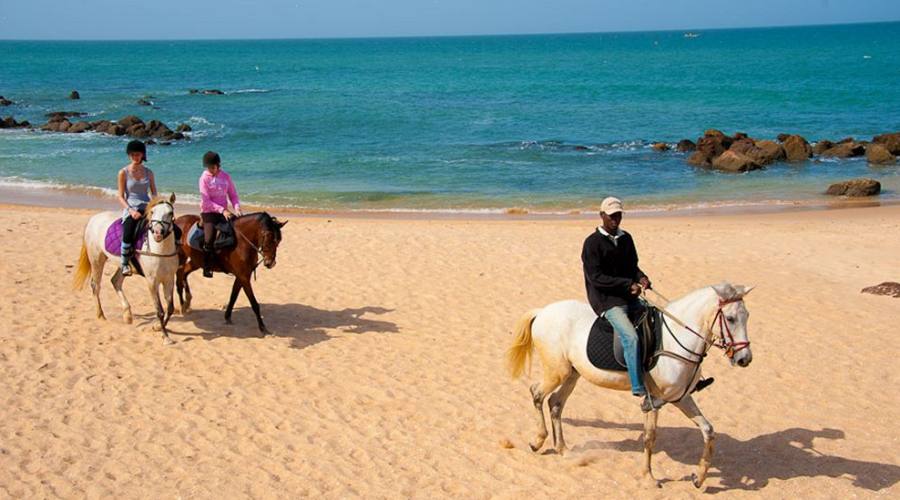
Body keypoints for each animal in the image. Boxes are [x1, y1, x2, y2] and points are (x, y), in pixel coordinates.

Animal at [74, 194, 181, 344]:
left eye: (170, 213)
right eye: (153, 212)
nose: (158, 233)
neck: (160, 250)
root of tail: (94, 219)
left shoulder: (169, 279)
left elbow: (170, 308)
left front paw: (158, 328)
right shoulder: (152, 282)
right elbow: (159, 310)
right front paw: (165, 336)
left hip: (122, 265)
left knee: (115, 281)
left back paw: (128, 315)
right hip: (97, 260)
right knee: (96, 285)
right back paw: (101, 315)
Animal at [506, 284, 752, 490]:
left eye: (747, 316)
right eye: (730, 318)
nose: (745, 359)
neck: (677, 340)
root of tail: (543, 312)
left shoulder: (680, 398)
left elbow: (708, 431)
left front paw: (699, 478)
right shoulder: (653, 402)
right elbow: (649, 437)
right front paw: (649, 477)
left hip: (572, 375)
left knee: (555, 403)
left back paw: (563, 450)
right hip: (557, 372)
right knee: (537, 394)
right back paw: (538, 441)